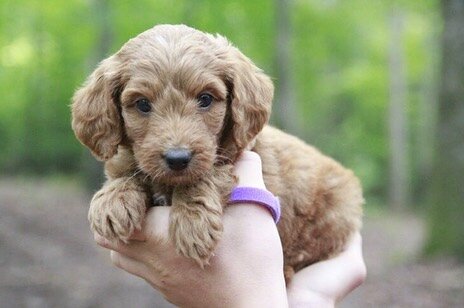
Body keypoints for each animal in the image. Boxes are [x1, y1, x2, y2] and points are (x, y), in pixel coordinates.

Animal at [71, 24, 362, 282]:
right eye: (142, 104)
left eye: (206, 99)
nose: (178, 159)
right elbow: (127, 171)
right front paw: (113, 200)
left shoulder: (234, 154)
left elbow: (207, 174)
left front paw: (193, 223)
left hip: (334, 210)